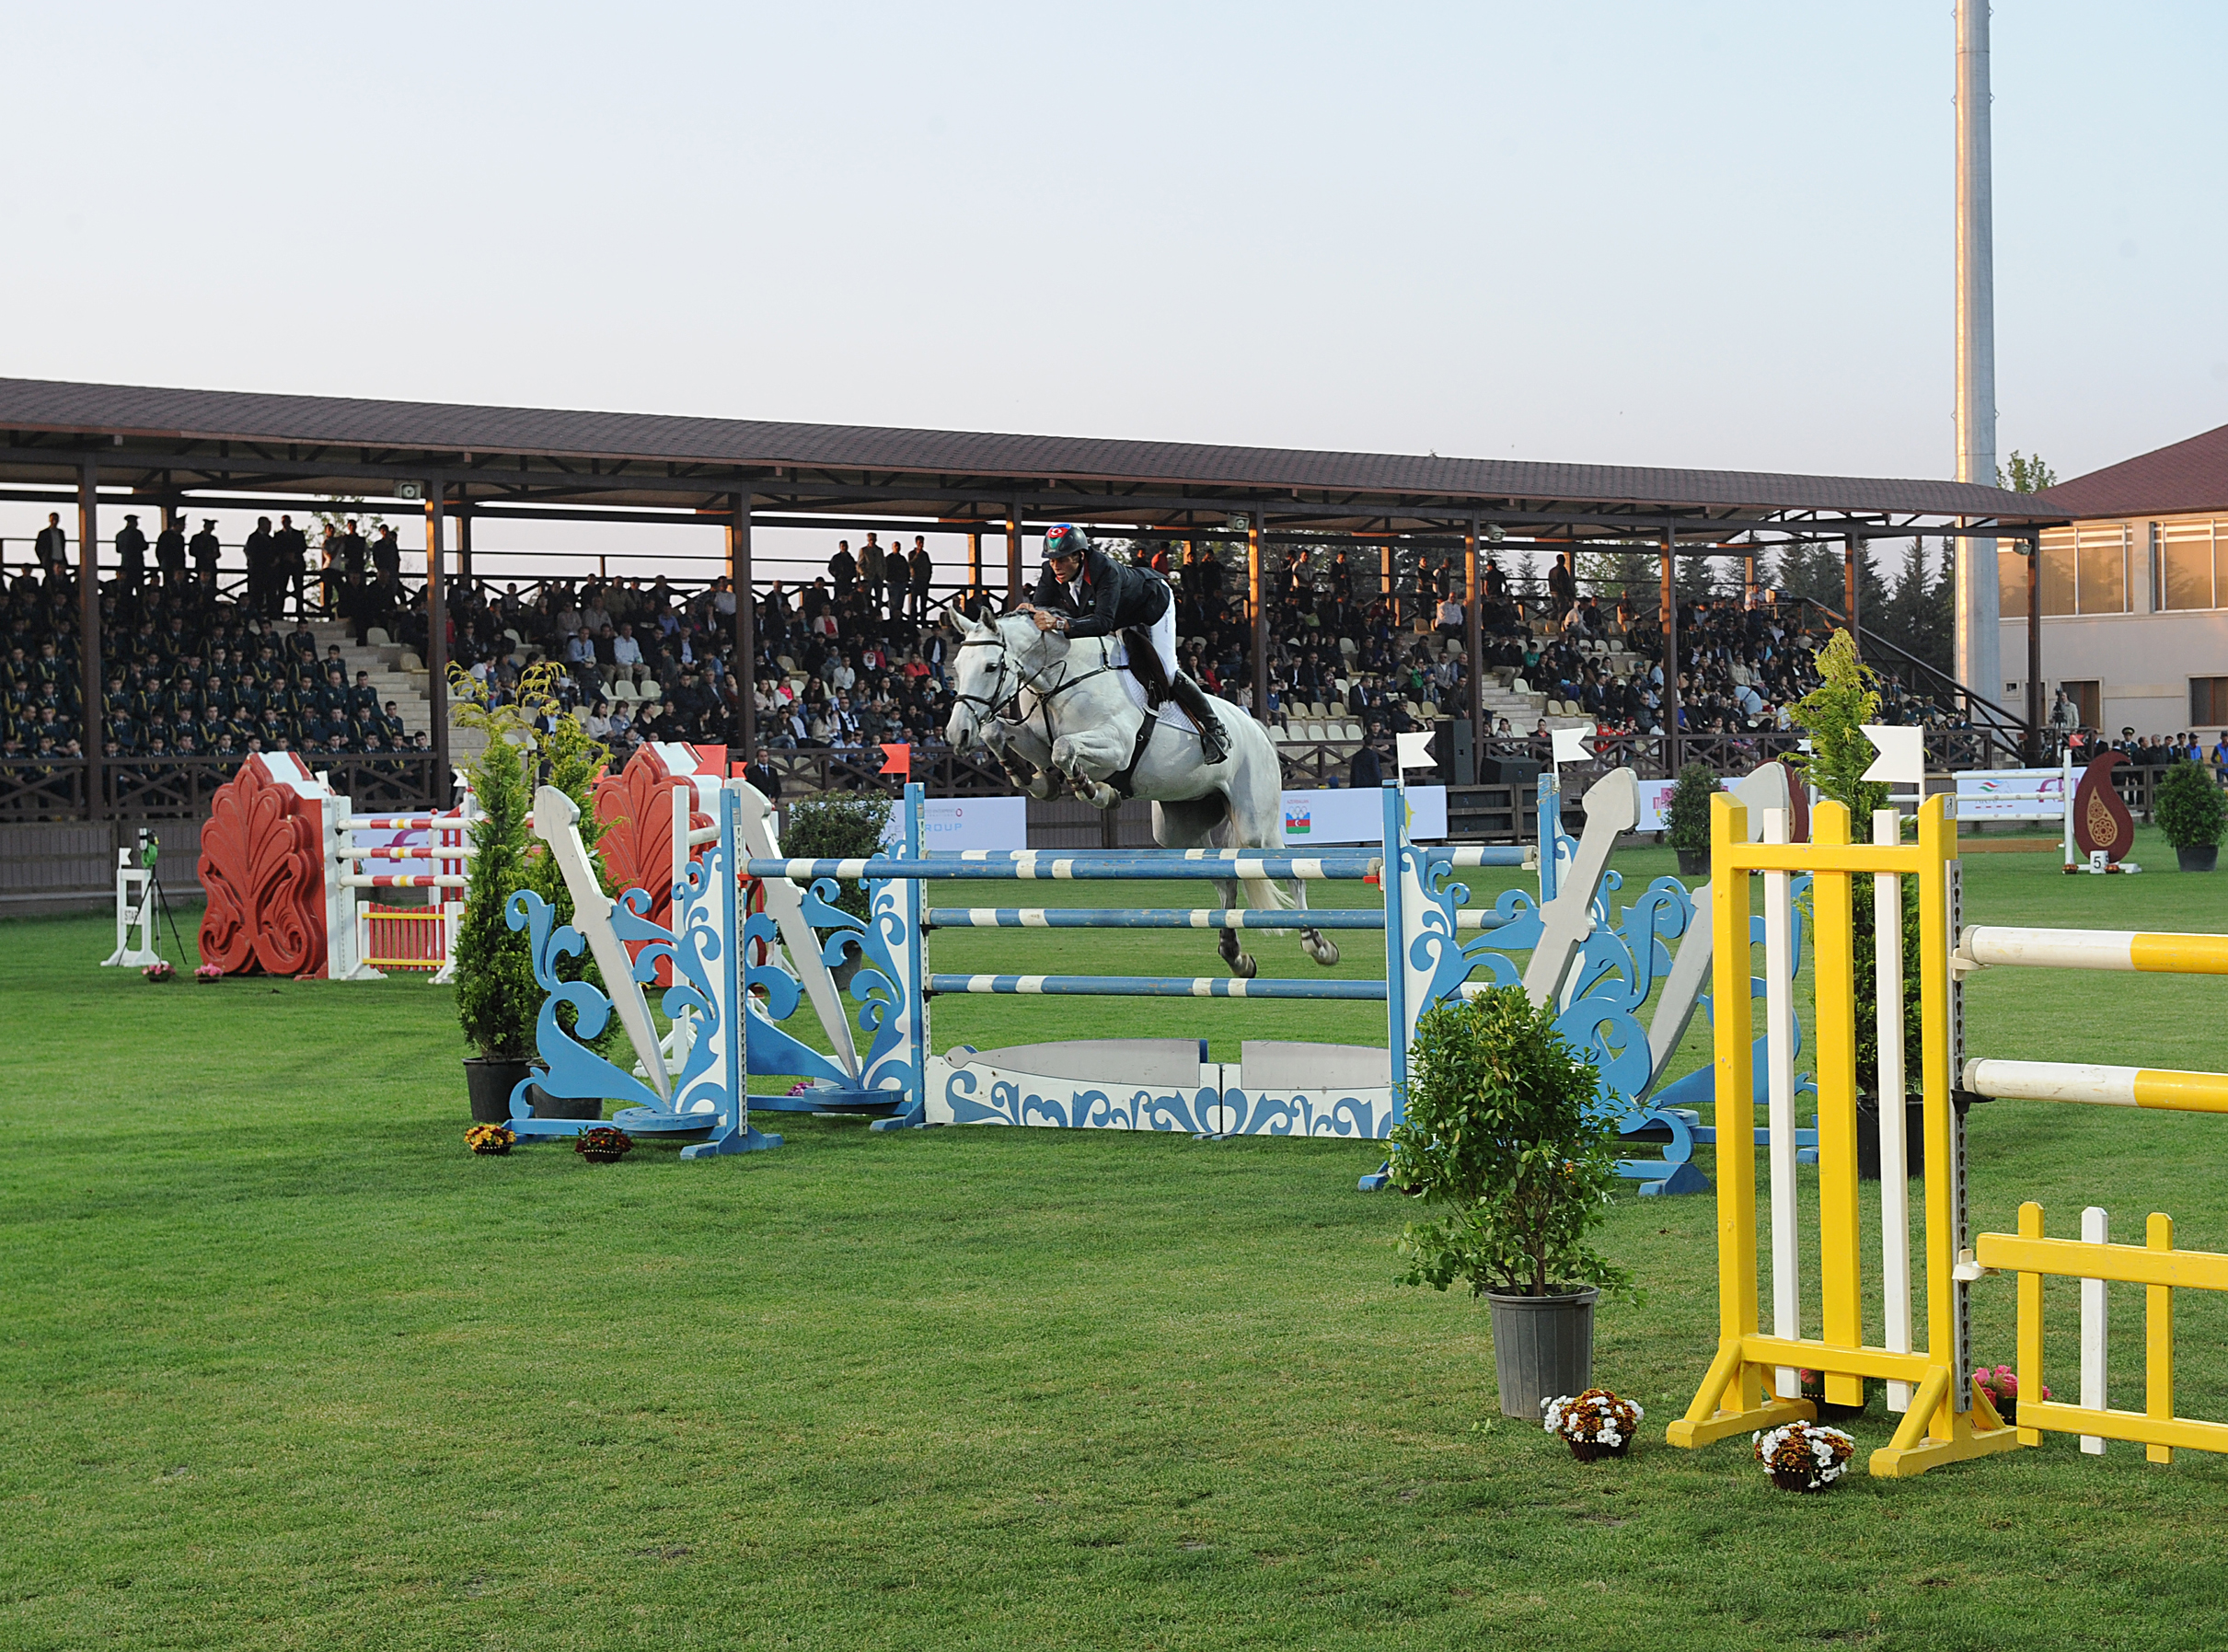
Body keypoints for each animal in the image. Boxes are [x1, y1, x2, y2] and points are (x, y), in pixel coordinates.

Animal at [944, 610, 1336, 980]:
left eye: (991, 666)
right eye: (956, 669)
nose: (957, 734)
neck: (1059, 682)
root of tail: (1255, 725)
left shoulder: (1117, 747)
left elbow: (1063, 747)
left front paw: (1097, 792)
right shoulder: (1036, 740)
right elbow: (1003, 735)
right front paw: (1037, 781)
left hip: (1255, 824)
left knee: (1289, 871)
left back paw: (1317, 945)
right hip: (1180, 829)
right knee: (1224, 876)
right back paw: (1235, 956)